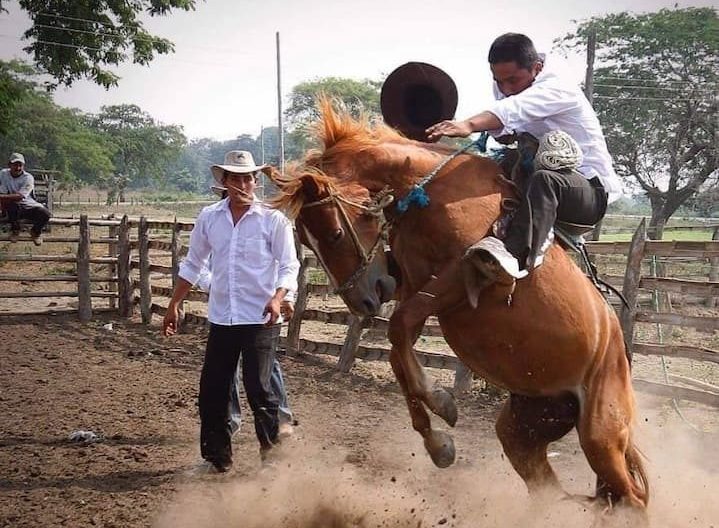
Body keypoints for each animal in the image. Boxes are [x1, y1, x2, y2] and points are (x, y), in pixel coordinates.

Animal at [272, 100, 652, 516]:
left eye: (334, 233)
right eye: (302, 237)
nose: (362, 301)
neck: (432, 190)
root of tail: (616, 343)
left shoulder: (459, 274)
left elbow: (398, 328)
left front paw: (441, 403)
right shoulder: (413, 287)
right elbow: (398, 350)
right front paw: (438, 441)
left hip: (601, 433)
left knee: (633, 499)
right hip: (531, 424)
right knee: (550, 485)